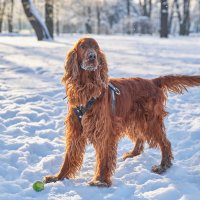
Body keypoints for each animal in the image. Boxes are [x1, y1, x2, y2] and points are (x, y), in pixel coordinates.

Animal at [44, 37, 200, 188]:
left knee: (165, 142)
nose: (92, 56)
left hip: (150, 120)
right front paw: (58, 177)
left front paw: (100, 180)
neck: (87, 89)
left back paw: (163, 166)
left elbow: (104, 158)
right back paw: (133, 154)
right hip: (135, 120)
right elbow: (69, 156)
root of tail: (153, 81)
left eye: (96, 47)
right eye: (82, 46)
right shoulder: (75, 130)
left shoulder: (105, 130)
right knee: (140, 137)